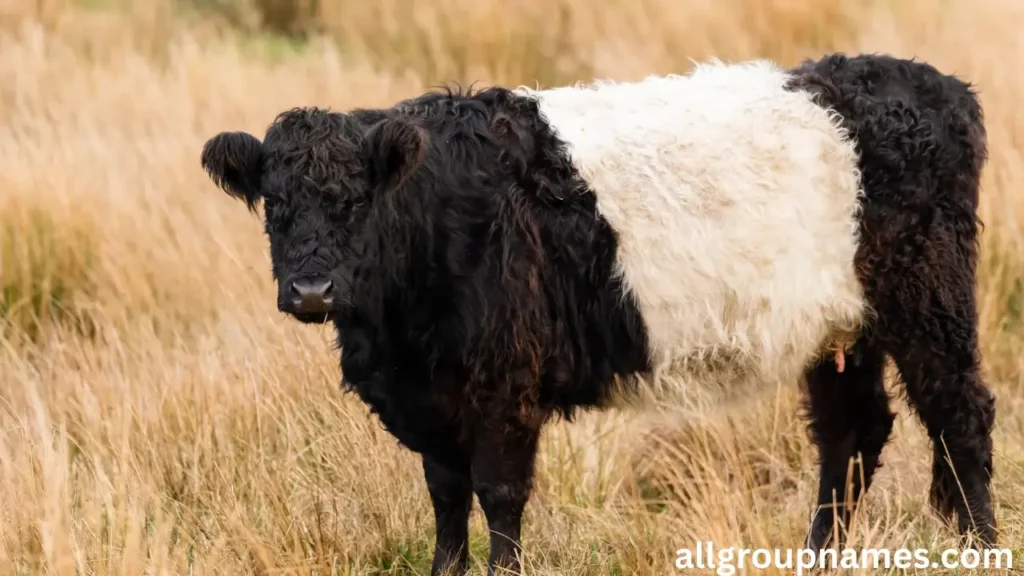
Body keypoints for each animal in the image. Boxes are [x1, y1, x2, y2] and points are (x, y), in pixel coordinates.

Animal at [201, 51, 999, 569]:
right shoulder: (431, 398)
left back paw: (984, 546)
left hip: (928, 298)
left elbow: (498, 495)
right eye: (275, 204)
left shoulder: (503, 386)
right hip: (835, 326)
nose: (311, 292)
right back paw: (816, 557)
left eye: (355, 201)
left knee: (959, 416)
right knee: (850, 434)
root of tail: (931, 82)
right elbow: (446, 499)